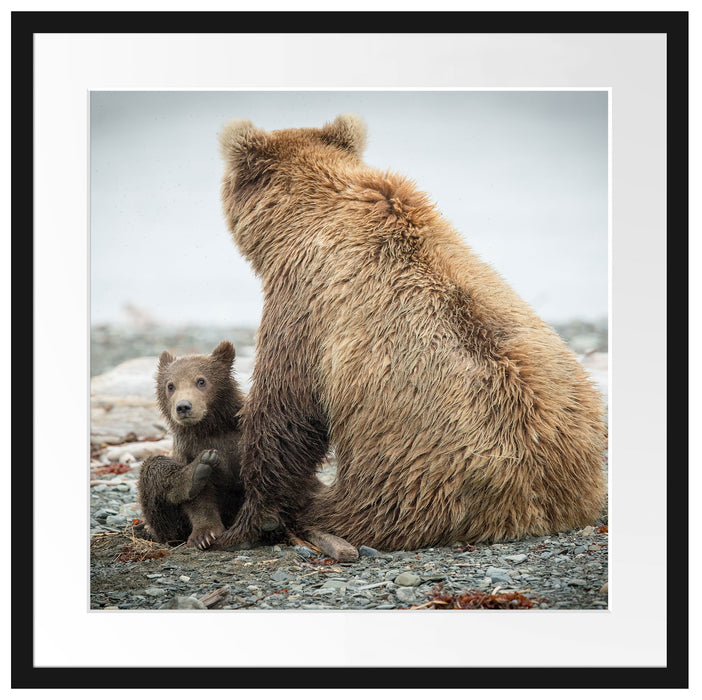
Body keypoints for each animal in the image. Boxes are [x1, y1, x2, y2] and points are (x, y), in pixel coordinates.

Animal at [137, 341, 246, 550]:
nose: (183, 406)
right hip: (168, 525)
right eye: (170, 385)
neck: (210, 428)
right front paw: (204, 535)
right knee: (154, 467)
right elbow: (199, 500)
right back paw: (194, 473)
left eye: (201, 381)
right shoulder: (189, 449)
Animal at [212, 114, 607, 552]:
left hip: (411, 476)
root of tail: (539, 506)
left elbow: (284, 410)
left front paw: (246, 522)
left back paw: (312, 515)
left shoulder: (303, 303)